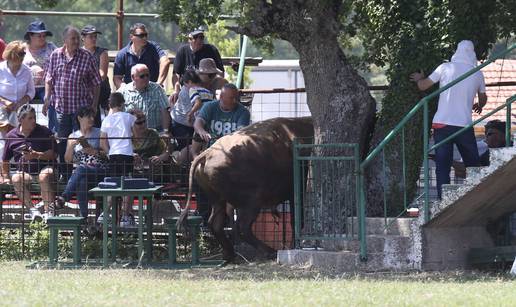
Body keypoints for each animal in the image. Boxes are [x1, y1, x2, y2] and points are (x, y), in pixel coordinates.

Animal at [177, 116, 314, 264]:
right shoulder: (297, 193)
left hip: (218, 200)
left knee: (215, 224)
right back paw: (270, 251)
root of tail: (207, 153)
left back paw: (230, 255)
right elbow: (297, 221)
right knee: (242, 227)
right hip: (252, 202)